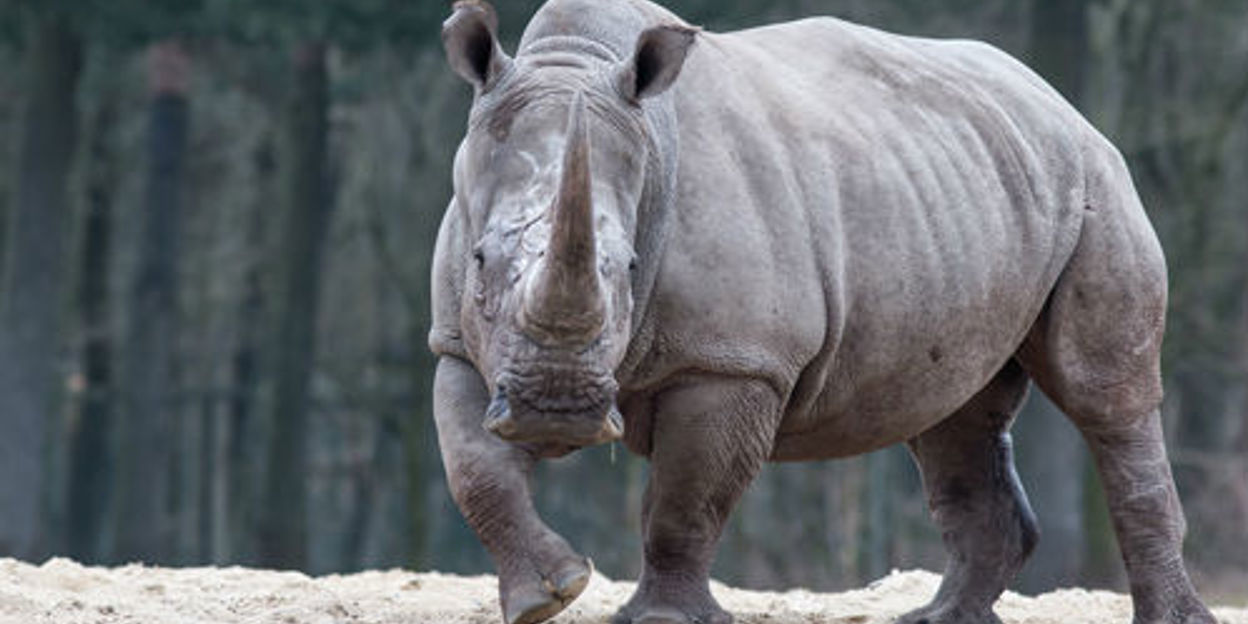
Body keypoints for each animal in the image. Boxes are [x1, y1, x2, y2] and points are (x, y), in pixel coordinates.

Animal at [430, 1, 1216, 623]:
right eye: (480, 262)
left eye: (626, 267)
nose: (555, 410)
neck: (579, 64)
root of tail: (1057, 101)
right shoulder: (460, 345)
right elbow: (475, 470)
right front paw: (549, 595)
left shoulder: (735, 361)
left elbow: (685, 499)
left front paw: (661, 619)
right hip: (970, 192)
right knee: (952, 412)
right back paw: (937, 619)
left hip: (1097, 185)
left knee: (1104, 401)